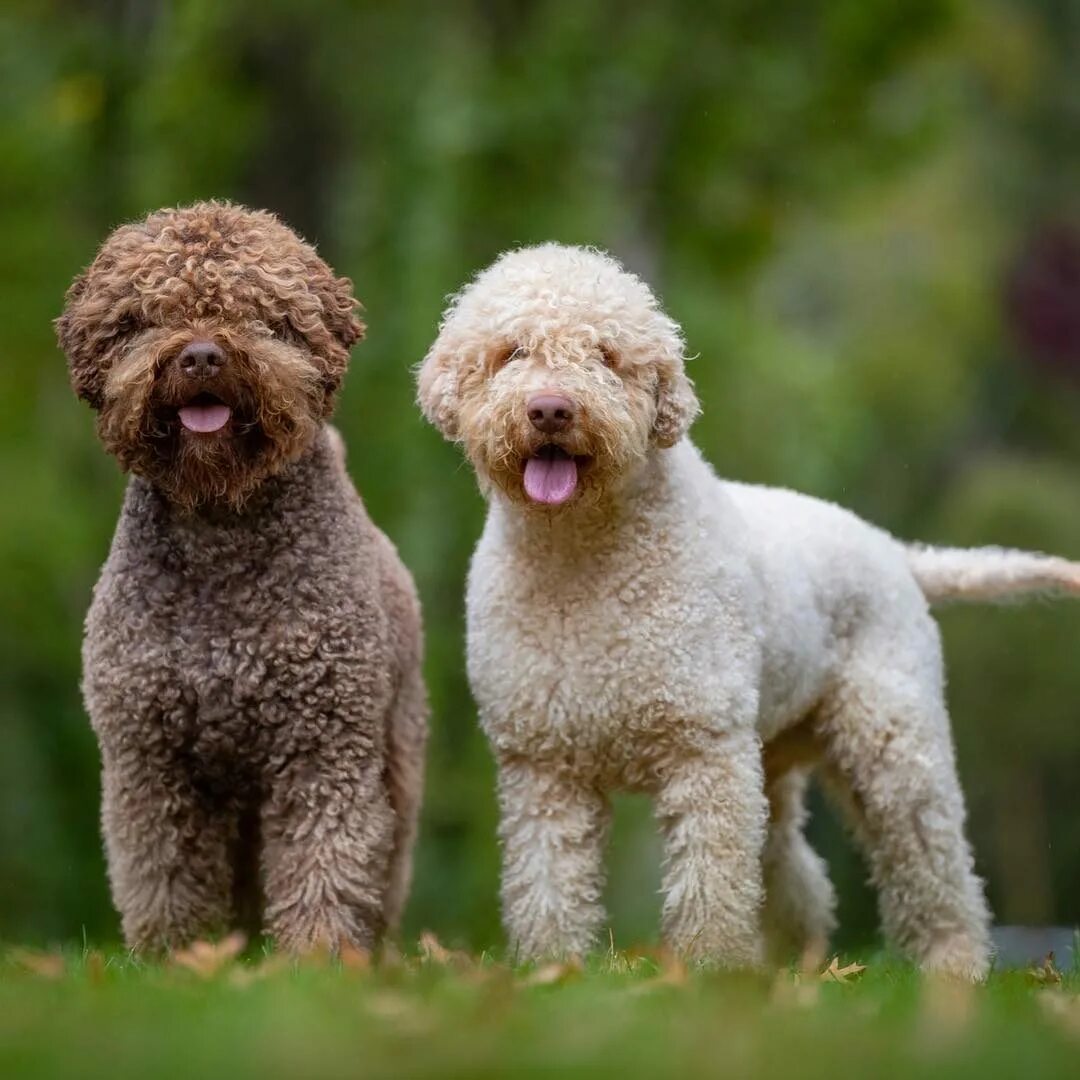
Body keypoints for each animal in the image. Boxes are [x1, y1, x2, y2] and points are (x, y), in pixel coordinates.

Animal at [55, 203, 425, 954]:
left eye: (259, 314)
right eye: (146, 316)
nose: (201, 355)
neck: (220, 532)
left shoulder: (324, 746)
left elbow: (325, 860)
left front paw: (318, 957)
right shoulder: (150, 757)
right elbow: (164, 869)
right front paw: (178, 958)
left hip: (395, 758)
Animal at [414, 245, 1080, 980]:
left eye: (606, 355)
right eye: (513, 351)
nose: (552, 410)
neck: (581, 559)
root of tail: (896, 552)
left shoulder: (705, 748)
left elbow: (711, 878)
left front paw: (704, 972)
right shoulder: (544, 764)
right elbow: (547, 882)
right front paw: (552, 971)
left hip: (892, 742)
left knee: (930, 857)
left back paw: (951, 966)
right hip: (773, 754)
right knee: (797, 870)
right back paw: (790, 965)